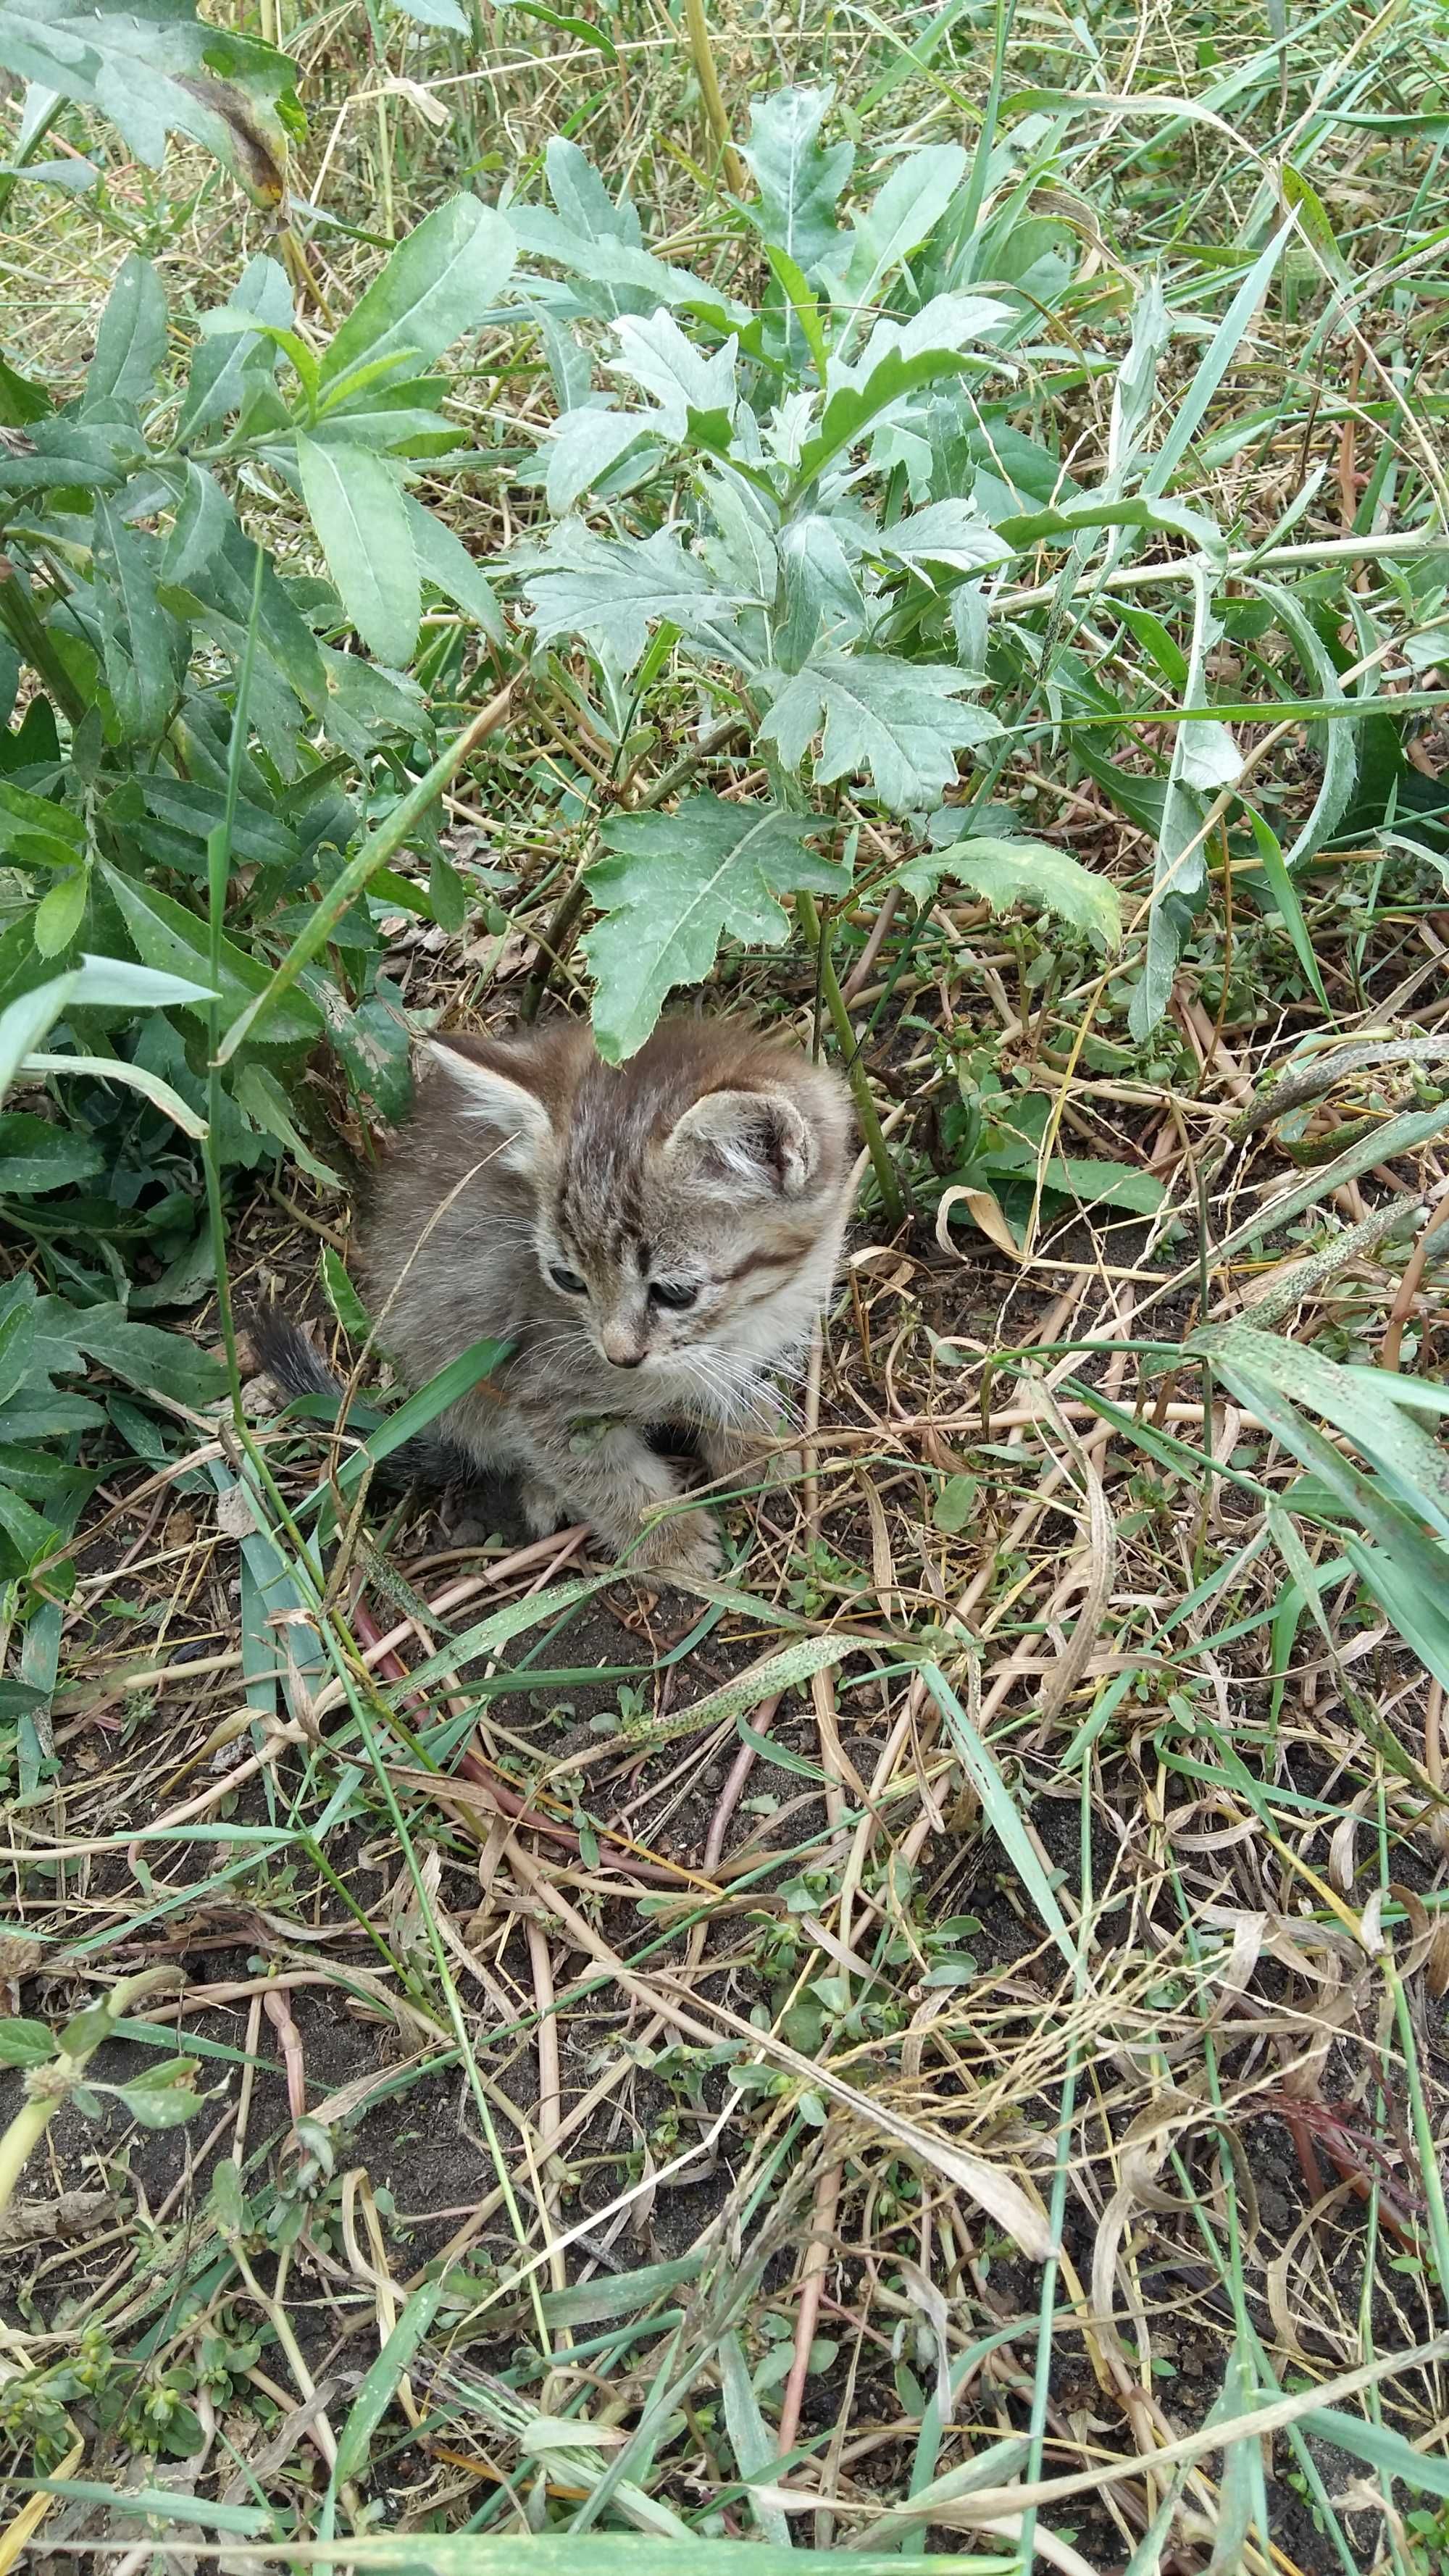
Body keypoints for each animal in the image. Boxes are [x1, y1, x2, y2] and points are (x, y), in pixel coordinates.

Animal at [262, 1004, 845, 1566]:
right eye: (567, 1279)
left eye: (674, 1292)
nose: (619, 1357)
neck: (752, 1314)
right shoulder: (536, 1388)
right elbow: (602, 1474)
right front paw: (663, 1539)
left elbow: (718, 1388)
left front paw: (752, 1442)